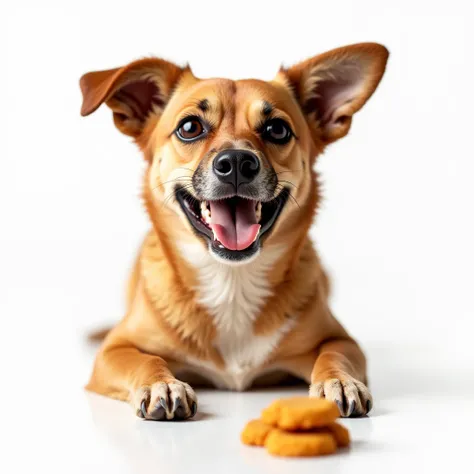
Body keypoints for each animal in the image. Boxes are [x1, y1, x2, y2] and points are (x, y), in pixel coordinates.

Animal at [79, 42, 386, 420]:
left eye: (277, 129)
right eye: (190, 127)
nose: (237, 162)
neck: (231, 280)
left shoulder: (343, 340)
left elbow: (335, 353)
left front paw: (339, 381)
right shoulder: (114, 351)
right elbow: (145, 360)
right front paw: (161, 384)